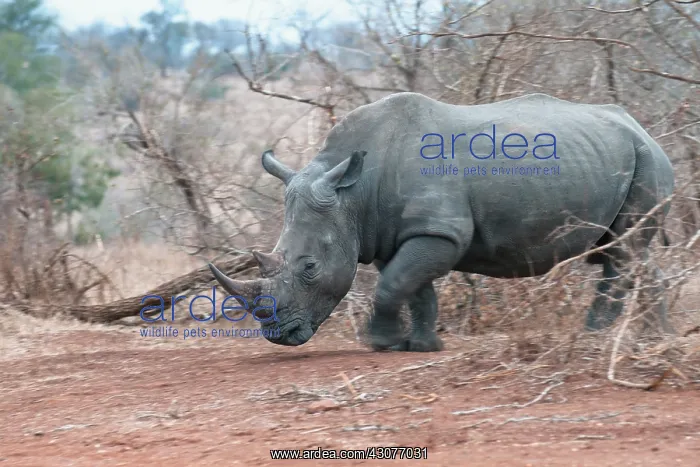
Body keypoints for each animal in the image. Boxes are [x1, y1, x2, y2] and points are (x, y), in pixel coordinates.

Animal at [209, 92, 675, 352]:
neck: (351, 195)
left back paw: (599, 336)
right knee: (627, 253)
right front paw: (420, 346)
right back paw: (652, 335)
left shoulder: (440, 230)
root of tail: (643, 128)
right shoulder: (394, 233)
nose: (278, 335)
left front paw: (380, 344)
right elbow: (412, 288)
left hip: (647, 160)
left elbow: (394, 284)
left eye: (309, 267)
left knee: (625, 251)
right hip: (622, 156)